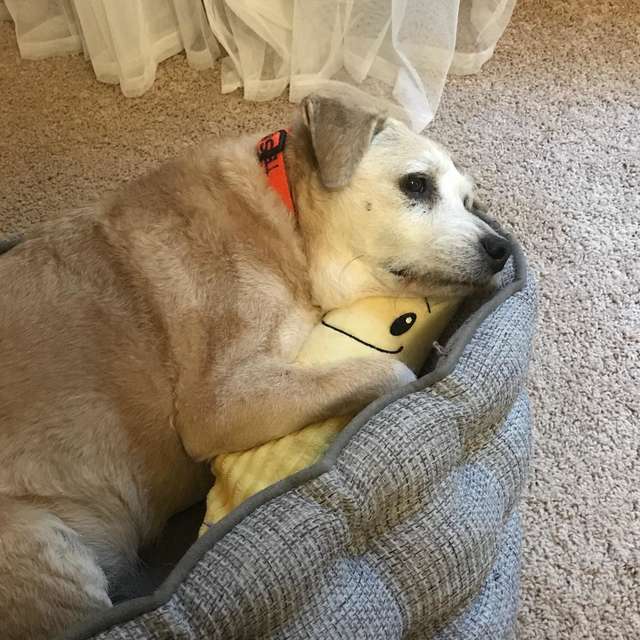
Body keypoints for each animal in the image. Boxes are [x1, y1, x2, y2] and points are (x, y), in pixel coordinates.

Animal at [0, 95, 510, 640]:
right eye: (416, 184)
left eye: (469, 201)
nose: (501, 249)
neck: (289, 224)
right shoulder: (220, 405)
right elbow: (390, 374)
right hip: (47, 553)